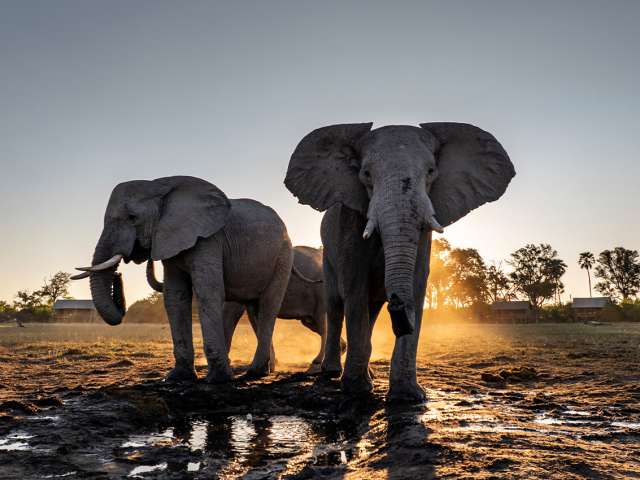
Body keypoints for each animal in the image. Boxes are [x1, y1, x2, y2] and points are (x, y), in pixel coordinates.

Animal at [72, 176, 294, 383]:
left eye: (132, 217)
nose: (118, 275)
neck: (160, 186)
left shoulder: (208, 239)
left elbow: (208, 291)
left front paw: (217, 379)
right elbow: (175, 296)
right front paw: (177, 377)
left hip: (283, 256)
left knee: (268, 306)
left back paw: (254, 373)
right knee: (255, 309)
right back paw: (262, 370)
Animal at [146, 246, 347, 371]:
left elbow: (230, 315)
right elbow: (254, 319)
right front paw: (271, 364)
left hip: (321, 292)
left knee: (322, 322)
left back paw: (318, 360)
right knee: (314, 324)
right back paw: (342, 349)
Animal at [285, 123, 515, 401]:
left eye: (431, 171)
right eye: (366, 174)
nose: (396, 304)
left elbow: (417, 284)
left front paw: (409, 396)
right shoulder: (349, 223)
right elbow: (354, 288)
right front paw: (356, 391)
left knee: (371, 310)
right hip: (326, 254)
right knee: (336, 304)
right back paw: (331, 372)